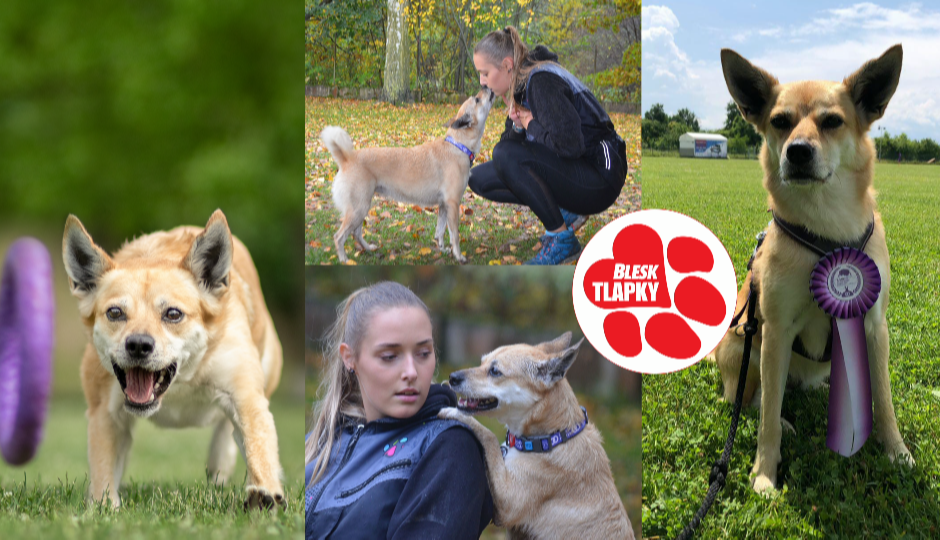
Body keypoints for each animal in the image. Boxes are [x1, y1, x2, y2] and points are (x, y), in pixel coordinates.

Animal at [62, 210, 284, 510]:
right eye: (115, 312)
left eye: (173, 314)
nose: (139, 345)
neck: (180, 382)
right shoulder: (105, 413)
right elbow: (103, 467)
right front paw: (104, 506)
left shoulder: (245, 395)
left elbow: (257, 442)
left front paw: (265, 491)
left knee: (227, 430)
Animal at [322, 87, 496, 264]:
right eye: (476, 99)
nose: (486, 87)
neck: (458, 145)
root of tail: (347, 159)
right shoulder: (453, 204)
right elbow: (454, 235)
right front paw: (458, 255)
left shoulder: (443, 205)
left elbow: (439, 231)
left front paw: (442, 249)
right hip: (358, 208)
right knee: (339, 236)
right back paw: (344, 259)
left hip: (361, 208)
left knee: (356, 233)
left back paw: (368, 248)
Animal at [438, 334, 632, 540]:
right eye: (482, 362)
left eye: (495, 371)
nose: (452, 377)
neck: (552, 436)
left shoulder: (507, 502)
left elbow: (489, 436)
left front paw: (454, 412)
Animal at [712, 45, 912, 494]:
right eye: (780, 122)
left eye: (832, 121)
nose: (798, 151)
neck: (827, 228)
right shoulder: (776, 330)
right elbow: (766, 417)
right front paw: (765, 472)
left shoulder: (874, 326)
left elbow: (884, 399)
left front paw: (896, 451)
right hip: (746, 347)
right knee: (749, 400)